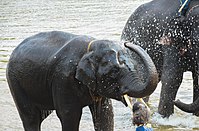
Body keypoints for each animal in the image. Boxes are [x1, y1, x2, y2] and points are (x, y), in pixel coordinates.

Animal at [6, 31, 159, 131]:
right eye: (115, 71)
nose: (127, 43)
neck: (90, 48)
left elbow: (105, 115)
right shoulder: (63, 79)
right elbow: (69, 115)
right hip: (14, 81)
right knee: (30, 117)